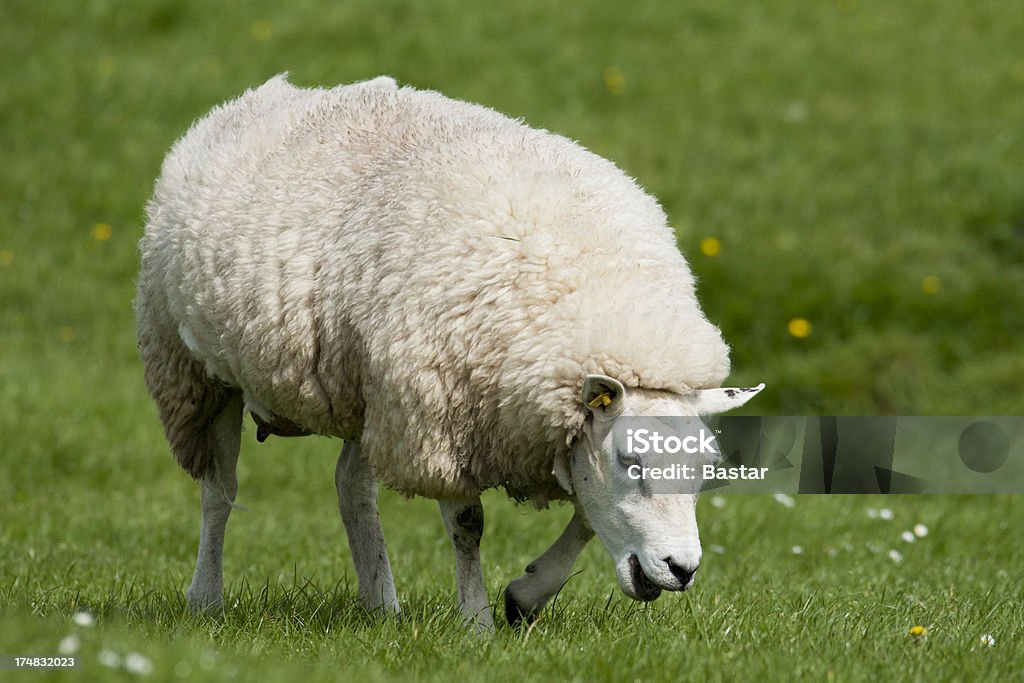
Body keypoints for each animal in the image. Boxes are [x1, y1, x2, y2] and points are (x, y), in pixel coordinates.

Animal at [134, 74, 761, 630]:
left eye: (706, 469)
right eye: (632, 462)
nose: (682, 569)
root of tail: (263, 98)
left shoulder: (543, 426)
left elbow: (588, 510)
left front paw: (528, 595)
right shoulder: (441, 418)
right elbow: (468, 523)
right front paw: (478, 622)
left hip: (370, 386)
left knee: (351, 485)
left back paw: (380, 604)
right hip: (197, 373)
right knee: (219, 491)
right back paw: (206, 598)